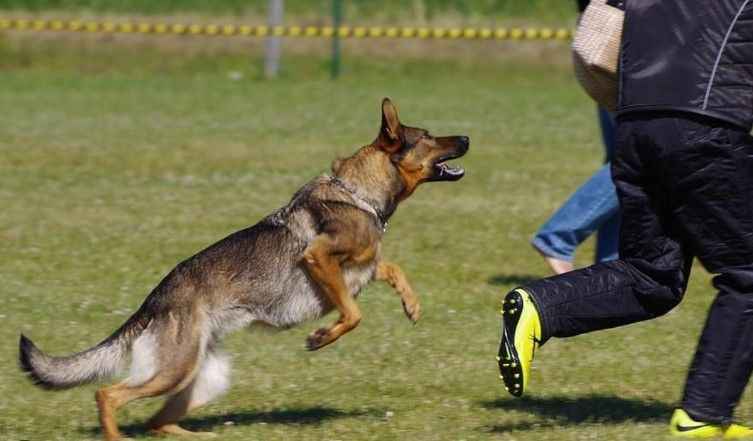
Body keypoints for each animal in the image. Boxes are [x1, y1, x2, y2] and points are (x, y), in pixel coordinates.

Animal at [17, 98, 468, 438]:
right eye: (428, 136)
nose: (466, 137)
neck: (359, 194)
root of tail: (153, 301)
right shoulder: (319, 258)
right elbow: (353, 314)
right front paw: (321, 337)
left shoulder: (361, 267)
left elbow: (392, 269)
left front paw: (412, 305)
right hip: (174, 370)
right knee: (108, 396)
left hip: (202, 378)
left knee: (157, 423)